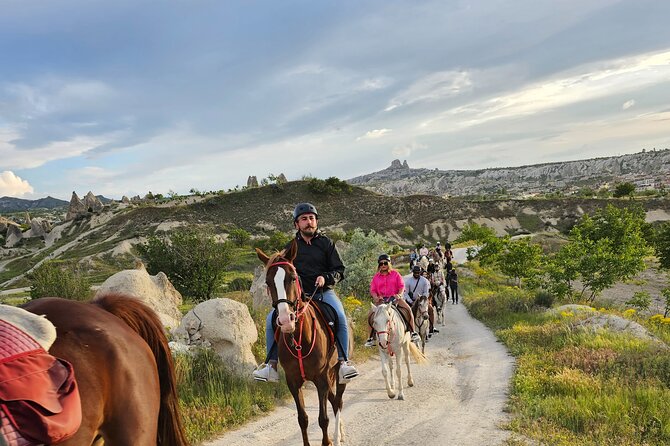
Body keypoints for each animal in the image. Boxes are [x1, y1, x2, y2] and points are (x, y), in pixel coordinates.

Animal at [258, 240, 350, 446]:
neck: (300, 340)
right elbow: (303, 419)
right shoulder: (293, 381)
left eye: (293, 278)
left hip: (337, 373)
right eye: (268, 282)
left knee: (338, 402)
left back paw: (337, 436)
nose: (286, 320)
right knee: (334, 401)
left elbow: (323, 419)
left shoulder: (321, 380)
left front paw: (328, 441)